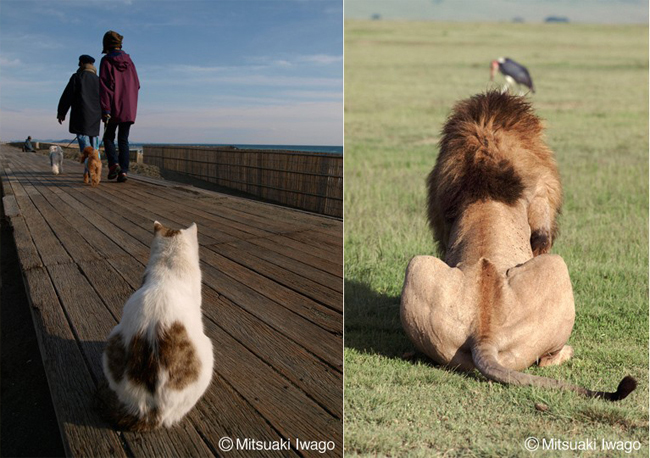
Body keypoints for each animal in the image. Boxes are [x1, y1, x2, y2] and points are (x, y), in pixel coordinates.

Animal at [400, 90, 632, 400]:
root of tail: (483, 334)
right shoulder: (541, 192)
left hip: (419, 266)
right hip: (555, 266)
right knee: (545, 360)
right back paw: (566, 352)